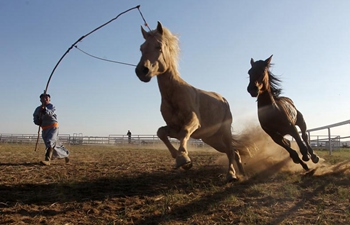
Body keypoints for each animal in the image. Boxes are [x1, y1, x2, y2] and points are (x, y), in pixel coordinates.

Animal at [135, 22, 245, 182]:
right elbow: (161, 132)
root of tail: (223, 100)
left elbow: (185, 132)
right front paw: (183, 160)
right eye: (141, 48)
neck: (174, 95)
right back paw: (242, 172)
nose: (141, 71)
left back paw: (231, 174)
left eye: (158, 46)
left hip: (224, 132)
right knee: (234, 151)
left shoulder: (193, 121)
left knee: (231, 151)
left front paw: (183, 159)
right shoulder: (173, 128)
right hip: (211, 139)